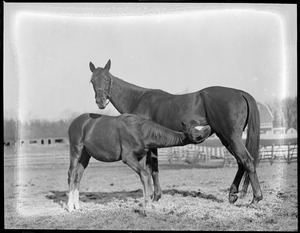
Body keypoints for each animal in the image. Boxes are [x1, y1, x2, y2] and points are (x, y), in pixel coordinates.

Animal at [67, 113, 211, 213]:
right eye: (196, 133)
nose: (208, 127)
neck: (140, 131)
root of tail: (75, 122)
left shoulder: (139, 157)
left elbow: (143, 176)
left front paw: (147, 203)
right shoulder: (128, 158)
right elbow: (146, 175)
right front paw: (147, 204)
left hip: (85, 155)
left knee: (78, 176)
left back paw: (77, 206)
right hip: (76, 150)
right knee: (71, 174)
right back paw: (70, 207)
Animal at [88, 60, 262, 206]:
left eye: (107, 79)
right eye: (92, 80)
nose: (100, 102)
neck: (139, 99)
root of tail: (240, 93)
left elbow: (152, 168)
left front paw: (154, 196)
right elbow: (153, 168)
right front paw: (156, 196)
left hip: (231, 136)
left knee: (247, 161)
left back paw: (256, 198)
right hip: (225, 138)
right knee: (240, 162)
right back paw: (233, 195)